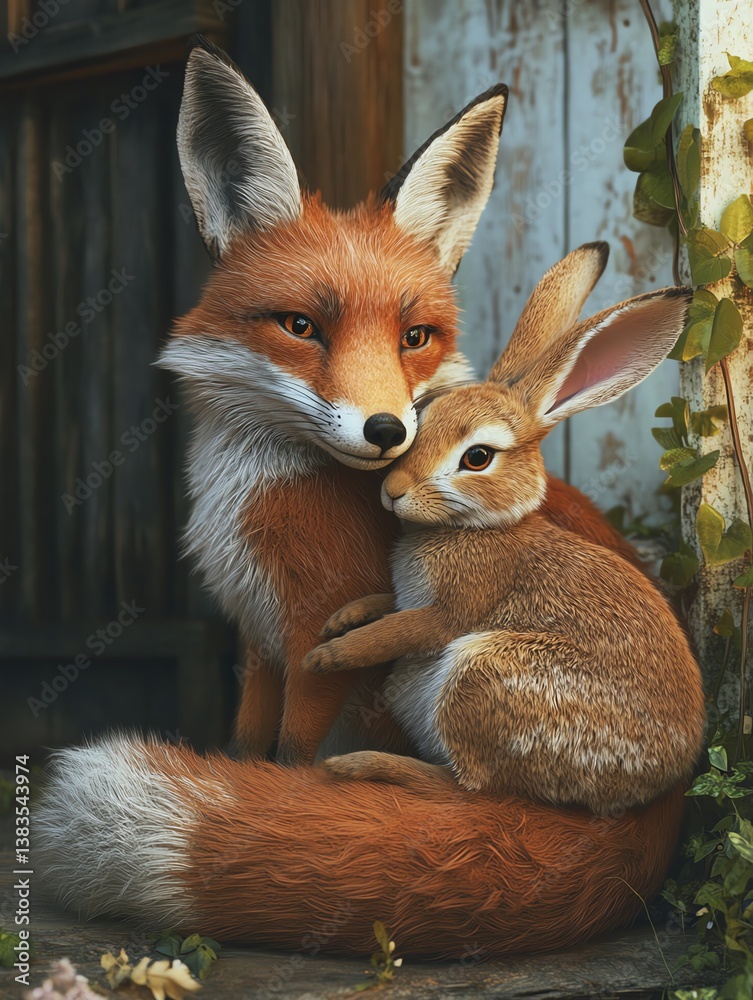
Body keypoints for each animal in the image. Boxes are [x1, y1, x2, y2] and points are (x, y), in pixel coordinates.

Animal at [158, 38, 639, 764]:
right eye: (300, 327)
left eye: (414, 337)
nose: (386, 431)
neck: (251, 494)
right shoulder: (261, 645)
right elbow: (246, 747)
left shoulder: (312, 635)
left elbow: (293, 753)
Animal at [300, 244, 706, 817]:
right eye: (424, 415)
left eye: (477, 458)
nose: (393, 490)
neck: (478, 528)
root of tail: (658, 780)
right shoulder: (408, 596)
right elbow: (386, 605)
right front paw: (343, 618)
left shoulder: (452, 610)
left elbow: (399, 631)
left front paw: (325, 657)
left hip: (484, 673)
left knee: (473, 791)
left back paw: (360, 765)